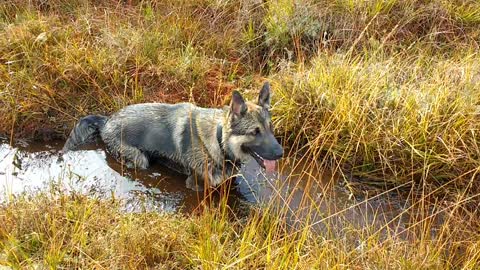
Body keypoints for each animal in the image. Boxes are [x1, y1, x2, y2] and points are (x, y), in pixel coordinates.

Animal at [62, 82, 284, 190]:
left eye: (270, 128)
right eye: (255, 132)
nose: (281, 153)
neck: (219, 140)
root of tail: (107, 120)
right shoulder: (197, 185)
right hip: (140, 160)